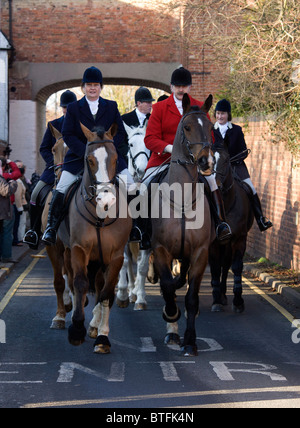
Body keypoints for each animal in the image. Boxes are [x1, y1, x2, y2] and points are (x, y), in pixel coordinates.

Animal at [58, 122, 131, 352]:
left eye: (115, 158)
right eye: (89, 160)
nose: (106, 200)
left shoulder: (115, 256)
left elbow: (106, 292)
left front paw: (102, 337)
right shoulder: (79, 249)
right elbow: (80, 283)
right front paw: (76, 329)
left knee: (99, 286)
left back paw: (94, 325)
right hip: (67, 251)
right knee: (71, 280)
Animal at [210, 139, 254, 312]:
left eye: (227, 160)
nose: (216, 184)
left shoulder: (239, 238)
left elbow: (236, 266)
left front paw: (238, 300)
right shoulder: (213, 243)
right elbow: (215, 268)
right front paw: (216, 301)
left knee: (226, 264)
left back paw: (223, 295)